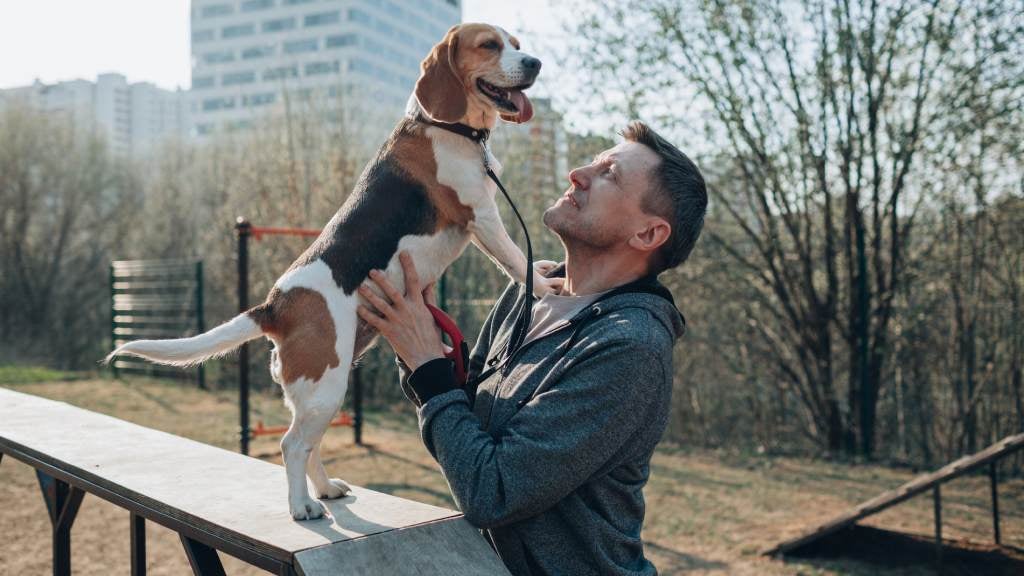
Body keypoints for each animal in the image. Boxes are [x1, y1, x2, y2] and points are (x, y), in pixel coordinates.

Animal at [105, 22, 561, 518]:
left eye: (516, 46)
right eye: (489, 46)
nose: (535, 64)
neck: (445, 126)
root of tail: (274, 305)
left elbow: (511, 262)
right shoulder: (482, 216)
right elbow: (516, 260)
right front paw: (546, 285)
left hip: (323, 388)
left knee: (310, 446)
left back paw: (323, 490)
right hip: (326, 385)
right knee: (291, 446)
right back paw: (302, 506)